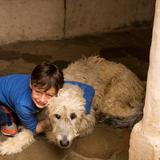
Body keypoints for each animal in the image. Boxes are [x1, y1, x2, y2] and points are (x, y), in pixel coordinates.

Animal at [0, 56, 145, 155]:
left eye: (73, 116)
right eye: (57, 116)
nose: (64, 143)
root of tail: (139, 80)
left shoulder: (88, 120)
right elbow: (30, 128)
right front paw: (10, 145)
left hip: (110, 102)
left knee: (138, 109)